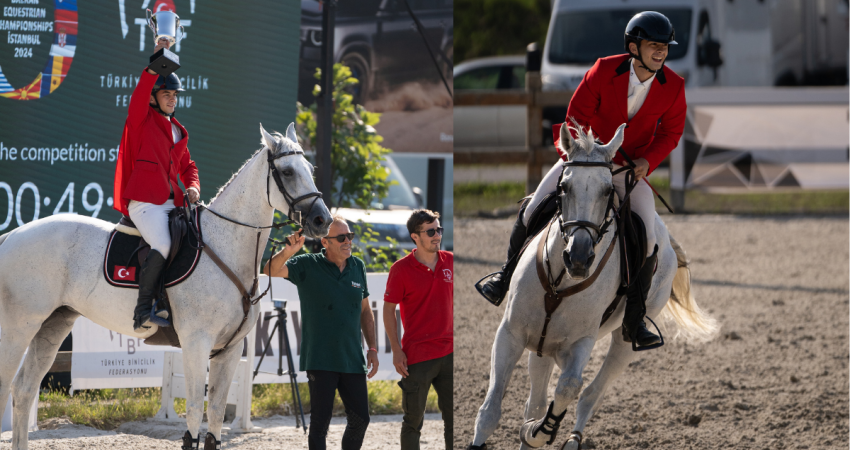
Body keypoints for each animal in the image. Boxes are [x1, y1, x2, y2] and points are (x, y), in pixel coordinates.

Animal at [0, 123, 330, 450]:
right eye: (287, 172)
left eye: (310, 169)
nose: (322, 220)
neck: (225, 247)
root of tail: (13, 234)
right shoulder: (197, 343)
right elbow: (195, 410)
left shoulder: (230, 349)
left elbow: (216, 413)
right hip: (19, 326)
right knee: (7, 385)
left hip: (54, 323)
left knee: (24, 389)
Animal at [470, 123, 716, 450]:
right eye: (564, 187)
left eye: (608, 190)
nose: (579, 258)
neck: (561, 280)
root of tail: (665, 233)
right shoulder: (511, 334)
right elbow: (491, 410)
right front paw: (523, 430)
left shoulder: (580, 342)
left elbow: (570, 387)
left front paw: (539, 432)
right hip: (542, 341)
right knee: (537, 400)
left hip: (623, 342)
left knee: (589, 394)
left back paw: (571, 438)